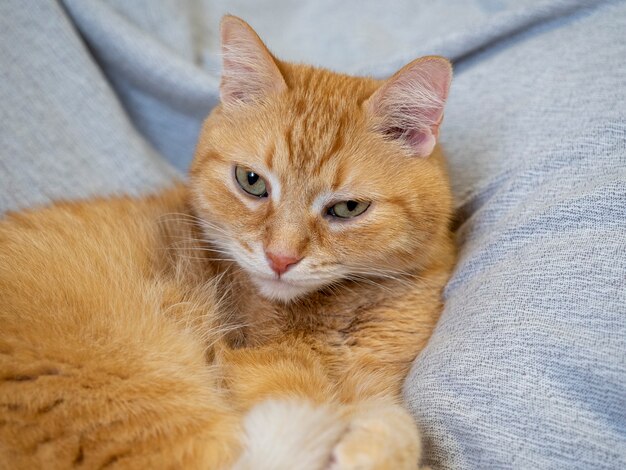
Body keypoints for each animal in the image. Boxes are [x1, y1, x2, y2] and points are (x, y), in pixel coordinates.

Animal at [0, 14, 454, 470]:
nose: (280, 258)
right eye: (251, 182)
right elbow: (320, 409)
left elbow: (397, 424)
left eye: (347, 208)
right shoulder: (265, 370)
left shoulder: (374, 383)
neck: (346, 311)